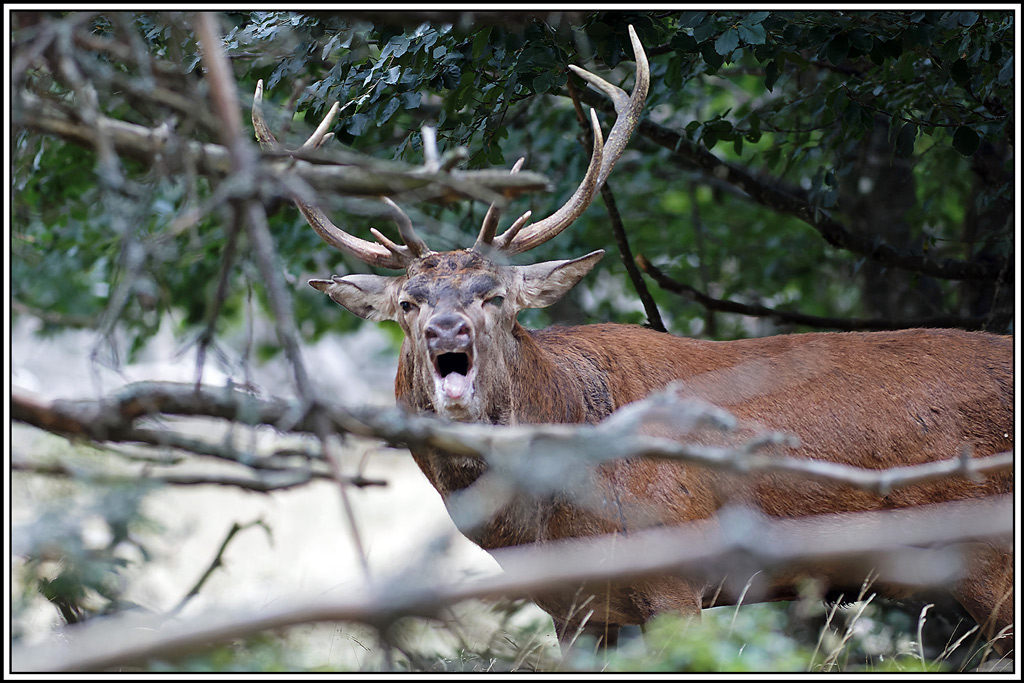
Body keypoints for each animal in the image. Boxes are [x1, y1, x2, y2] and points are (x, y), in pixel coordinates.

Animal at [252, 26, 1013, 655]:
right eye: (408, 304)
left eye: (495, 296)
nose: (446, 329)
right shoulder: (576, 609)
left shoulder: (677, 571)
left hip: (991, 558)